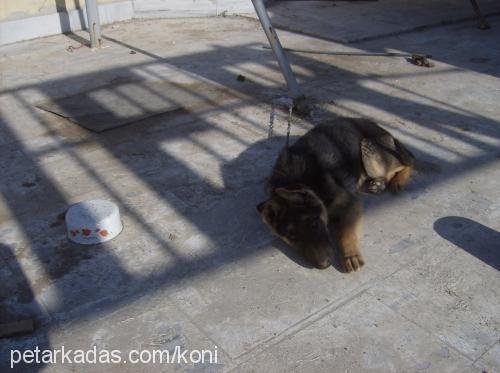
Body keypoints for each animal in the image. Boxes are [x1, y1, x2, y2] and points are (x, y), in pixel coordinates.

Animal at [258, 117, 414, 272]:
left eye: (314, 224)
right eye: (292, 236)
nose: (324, 264)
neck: (303, 181)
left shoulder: (351, 204)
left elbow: (346, 232)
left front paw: (351, 255)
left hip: (369, 154)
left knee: (406, 164)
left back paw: (398, 181)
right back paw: (377, 184)